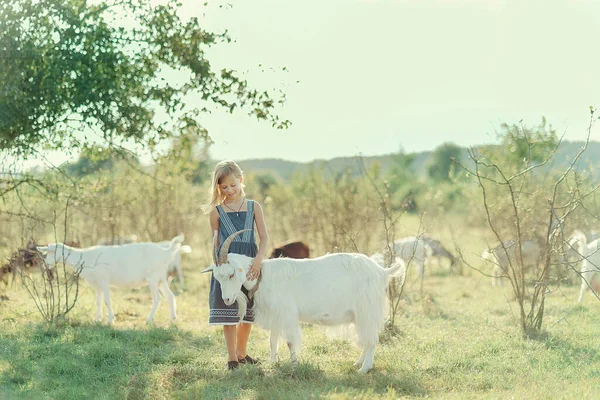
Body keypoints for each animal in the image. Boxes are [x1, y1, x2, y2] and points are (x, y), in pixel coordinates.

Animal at [38, 234, 183, 324]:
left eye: (50, 252)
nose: (46, 265)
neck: (86, 258)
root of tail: (165, 252)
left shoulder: (104, 280)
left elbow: (107, 301)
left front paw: (110, 320)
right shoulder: (97, 284)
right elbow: (98, 301)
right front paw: (97, 319)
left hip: (152, 278)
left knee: (157, 298)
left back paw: (149, 320)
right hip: (161, 278)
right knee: (170, 296)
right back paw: (172, 318)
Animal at [204, 230, 406, 374]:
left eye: (231, 274)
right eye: (217, 277)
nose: (227, 299)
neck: (263, 276)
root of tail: (382, 271)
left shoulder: (286, 314)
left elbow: (290, 342)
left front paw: (294, 366)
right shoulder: (276, 315)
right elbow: (272, 340)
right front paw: (273, 362)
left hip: (367, 309)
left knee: (371, 339)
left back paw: (364, 369)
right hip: (360, 314)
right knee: (365, 337)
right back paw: (358, 363)